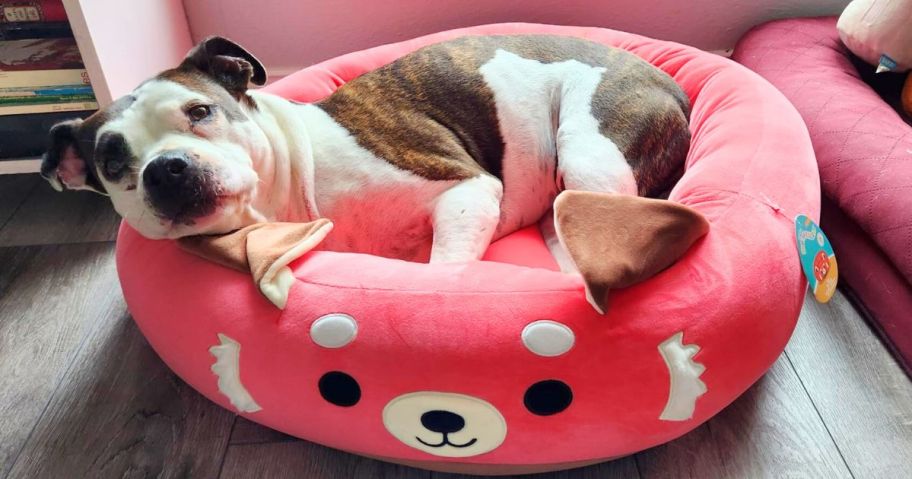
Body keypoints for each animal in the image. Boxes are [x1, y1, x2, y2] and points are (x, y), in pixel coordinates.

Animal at [39, 36, 696, 308]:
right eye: (112, 162)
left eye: (200, 112)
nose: (166, 169)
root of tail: (672, 85)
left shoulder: (464, 190)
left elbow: (443, 269)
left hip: (589, 153)